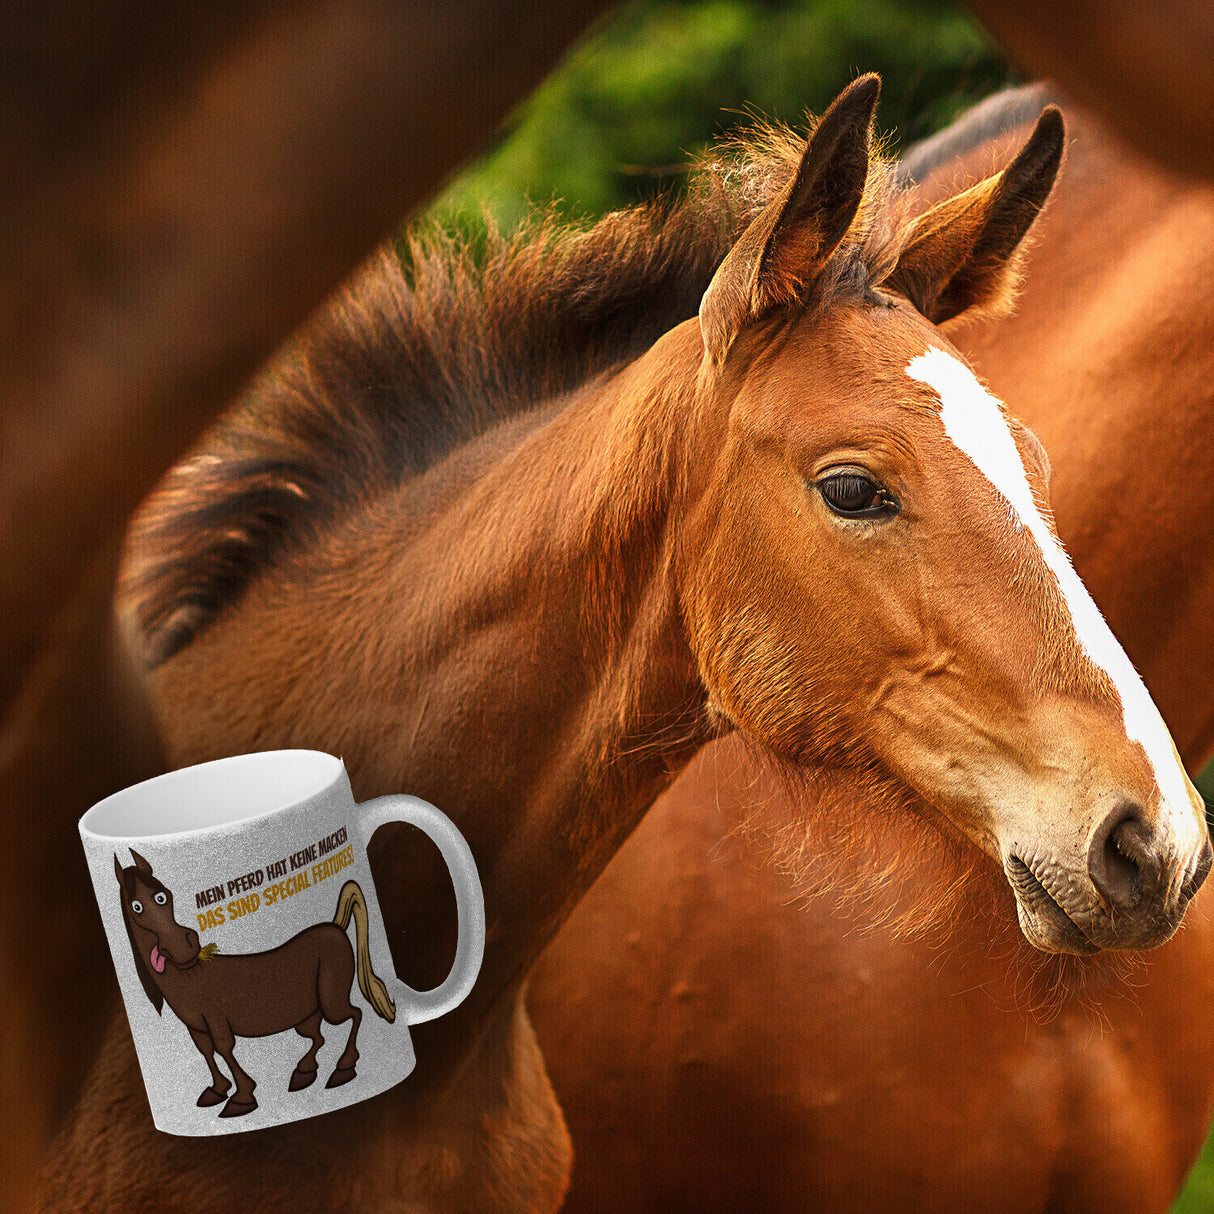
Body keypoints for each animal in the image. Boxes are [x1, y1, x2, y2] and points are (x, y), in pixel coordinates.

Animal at [115, 849, 395, 1117]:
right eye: (136, 906)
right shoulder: (196, 1027)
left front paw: (241, 1098)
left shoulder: (216, 1020)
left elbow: (224, 1049)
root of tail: (335, 926)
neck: (189, 973)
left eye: (164, 895)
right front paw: (217, 1090)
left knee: (355, 1014)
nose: (183, 947)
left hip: (331, 1002)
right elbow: (206, 1052)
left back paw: (343, 1069)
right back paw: (303, 1073)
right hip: (307, 1015)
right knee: (318, 1037)